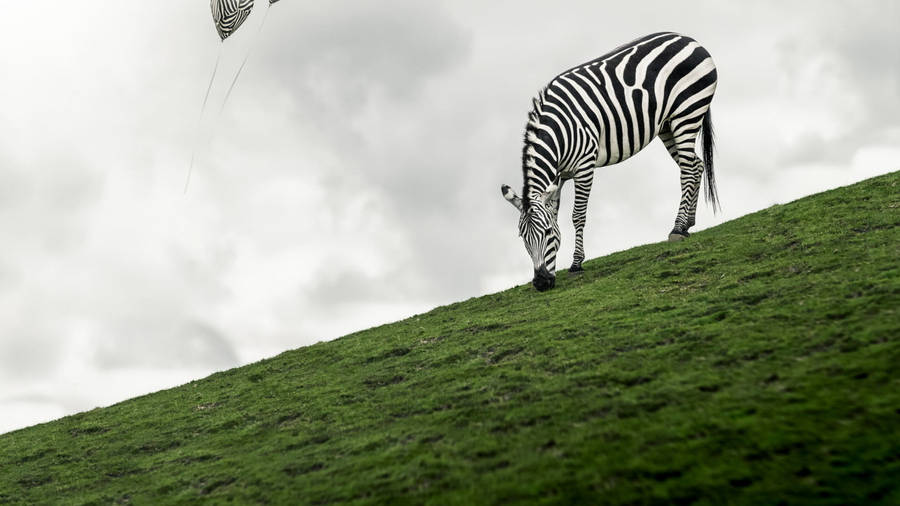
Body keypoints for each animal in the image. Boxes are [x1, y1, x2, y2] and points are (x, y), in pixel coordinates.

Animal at [500, 32, 719, 292]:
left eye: (546, 233)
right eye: (523, 238)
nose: (542, 282)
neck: (559, 132)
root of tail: (689, 39)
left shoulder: (584, 166)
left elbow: (577, 215)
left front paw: (576, 263)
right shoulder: (559, 175)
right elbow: (556, 213)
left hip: (687, 113)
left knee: (687, 170)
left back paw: (677, 228)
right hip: (667, 125)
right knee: (695, 165)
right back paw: (687, 224)